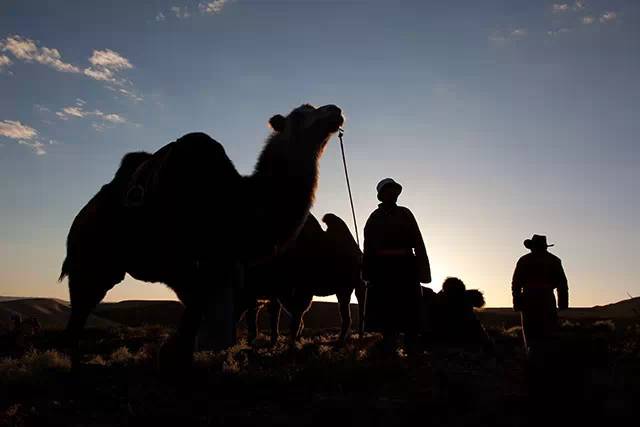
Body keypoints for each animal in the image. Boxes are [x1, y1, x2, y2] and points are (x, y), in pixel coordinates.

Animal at [58, 103, 344, 368]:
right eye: (300, 114)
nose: (335, 110)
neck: (241, 203)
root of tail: (81, 216)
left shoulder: (214, 271)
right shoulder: (187, 266)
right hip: (90, 264)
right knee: (76, 320)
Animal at [238, 212, 364, 346]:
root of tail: (358, 253)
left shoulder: (296, 290)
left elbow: (293, 315)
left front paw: (291, 342)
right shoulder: (278, 292)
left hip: (351, 286)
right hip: (344, 289)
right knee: (348, 315)